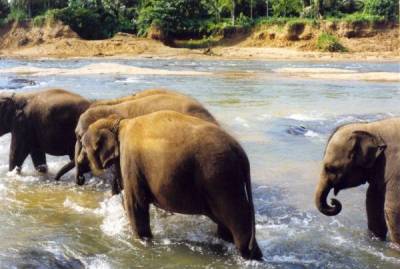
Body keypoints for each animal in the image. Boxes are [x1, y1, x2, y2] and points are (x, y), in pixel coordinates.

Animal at [77, 110, 262, 258]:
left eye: (84, 147)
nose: (80, 180)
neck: (119, 122)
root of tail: (241, 153)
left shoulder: (130, 160)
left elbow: (135, 203)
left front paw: (142, 242)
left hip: (220, 176)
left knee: (237, 217)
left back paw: (250, 255)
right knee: (224, 220)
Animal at [314, 117, 400, 245]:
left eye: (331, 168)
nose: (333, 201)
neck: (371, 128)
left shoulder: (396, 170)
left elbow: (393, 208)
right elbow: (372, 201)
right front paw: (376, 241)